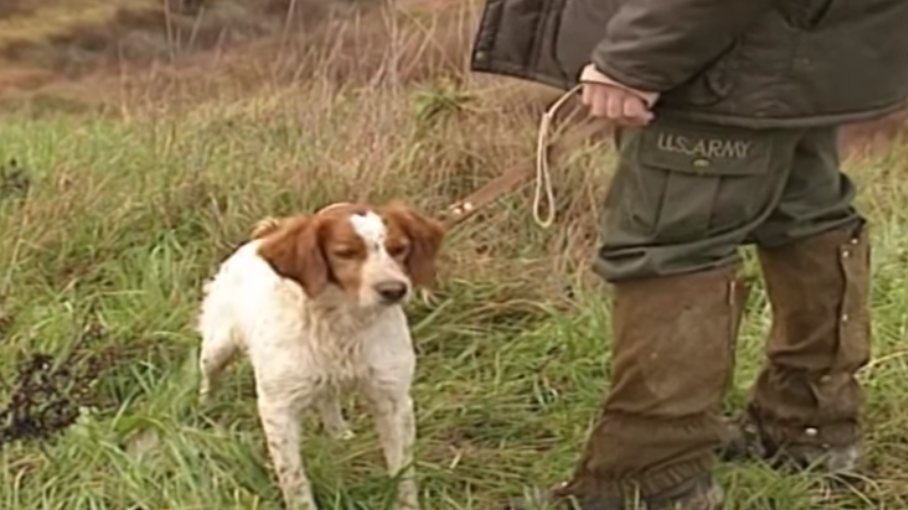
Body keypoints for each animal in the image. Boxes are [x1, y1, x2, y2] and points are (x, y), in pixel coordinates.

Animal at [197, 200, 446, 510]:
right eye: (345, 253)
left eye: (399, 248)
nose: (394, 290)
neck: (343, 323)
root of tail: (266, 233)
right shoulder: (278, 407)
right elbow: (294, 479)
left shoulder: (393, 399)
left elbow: (403, 471)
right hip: (218, 345)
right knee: (208, 376)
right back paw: (204, 410)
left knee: (328, 398)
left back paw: (338, 433)